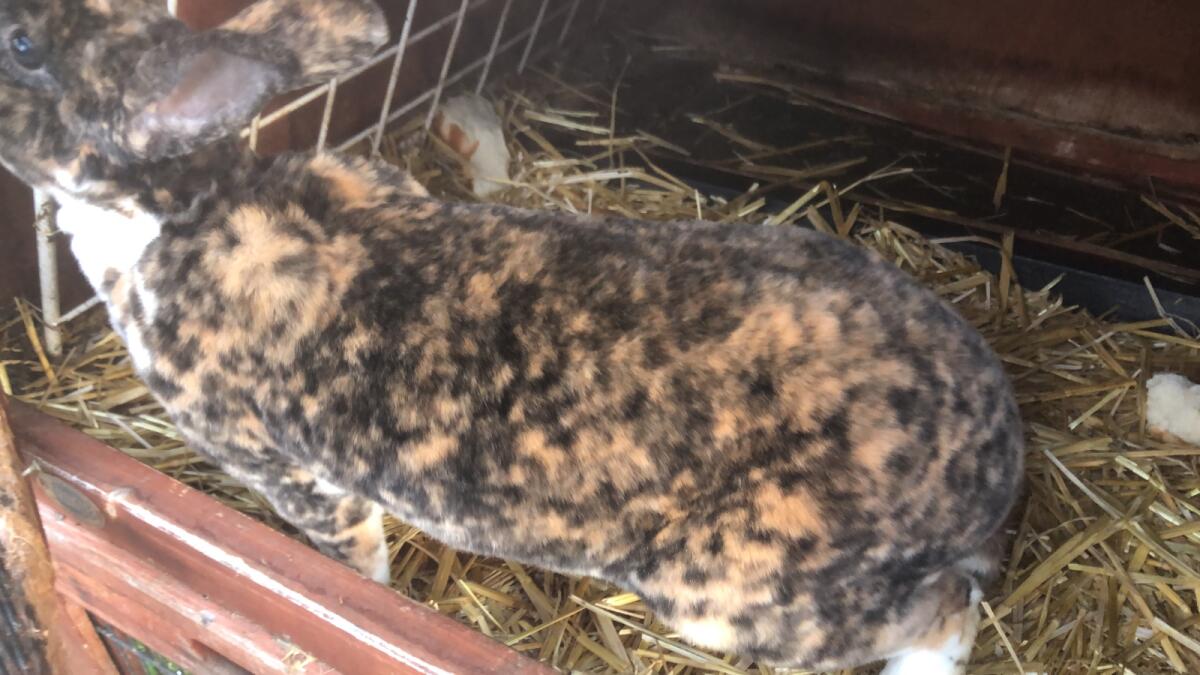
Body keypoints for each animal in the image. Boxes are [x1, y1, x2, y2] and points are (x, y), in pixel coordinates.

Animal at [0, 0, 1024, 672]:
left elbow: (351, 557)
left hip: (737, 591)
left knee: (944, 615)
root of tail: (992, 465)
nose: (13, 21)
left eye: (23, 46)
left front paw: (356, 597)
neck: (184, 202)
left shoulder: (292, 475)